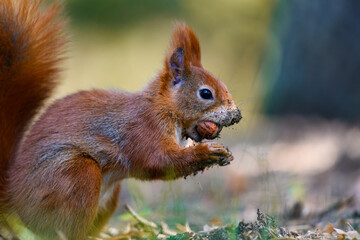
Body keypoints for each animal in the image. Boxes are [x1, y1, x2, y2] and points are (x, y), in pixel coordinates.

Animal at [0, 0, 242, 239]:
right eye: (206, 93)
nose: (237, 115)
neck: (164, 108)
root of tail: (13, 198)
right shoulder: (143, 129)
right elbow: (158, 160)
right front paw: (209, 152)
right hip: (76, 175)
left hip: (106, 198)